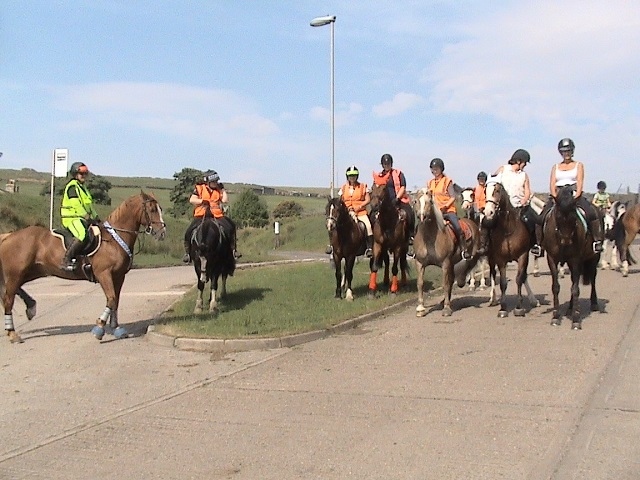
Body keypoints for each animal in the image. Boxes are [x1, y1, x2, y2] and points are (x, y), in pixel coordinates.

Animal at [0, 189, 168, 344]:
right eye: (152, 209)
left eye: (160, 208)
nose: (162, 232)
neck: (114, 240)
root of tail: (9, 236)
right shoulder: (104, 274)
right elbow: (111, 299)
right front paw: (99, 328)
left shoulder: (119, 276)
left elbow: (116, 301)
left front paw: (116, 328)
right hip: (16, 273)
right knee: (8, 298)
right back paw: (12, 333)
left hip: (31, 271)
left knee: (14, 291)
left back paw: (31, 308)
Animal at [484, 182, 540, 316]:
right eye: (485, 191)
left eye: (497, 190)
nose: (488, 212)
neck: (508, 229)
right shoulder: (500, 259)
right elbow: (503, 283)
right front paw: (503, 308)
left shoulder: (522, 255)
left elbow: (519, 279)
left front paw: (519, 307)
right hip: (491, 258)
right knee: (493, 274)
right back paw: (493, 299)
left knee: (523, 276)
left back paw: (533, 299)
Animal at [540, 186, 600, 328]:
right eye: (558, 216)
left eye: (574, 218)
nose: (566, 241)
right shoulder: (552, 259)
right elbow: (556, 287)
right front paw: (556, 316)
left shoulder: (576, 259)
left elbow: (575, 288)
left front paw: (576, 319)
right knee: (574, 279)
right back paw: (571, 307)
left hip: (594, 258)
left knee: (592, 277)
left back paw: (594, 303)